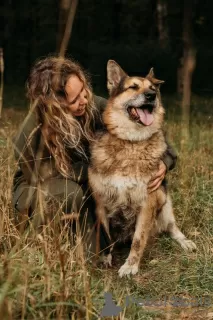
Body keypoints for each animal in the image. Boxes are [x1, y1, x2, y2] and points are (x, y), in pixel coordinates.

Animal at [88, 60, 196, 278]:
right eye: (133, 87)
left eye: (153, 88)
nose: (151, 96)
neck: (131, 142)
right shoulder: (101, 202)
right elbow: (105, 237)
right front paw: (106, 258)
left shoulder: (148, 203)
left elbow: (138, 240)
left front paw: (131, 266)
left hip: (164, 201)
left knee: (172, 228)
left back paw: (185, 242)